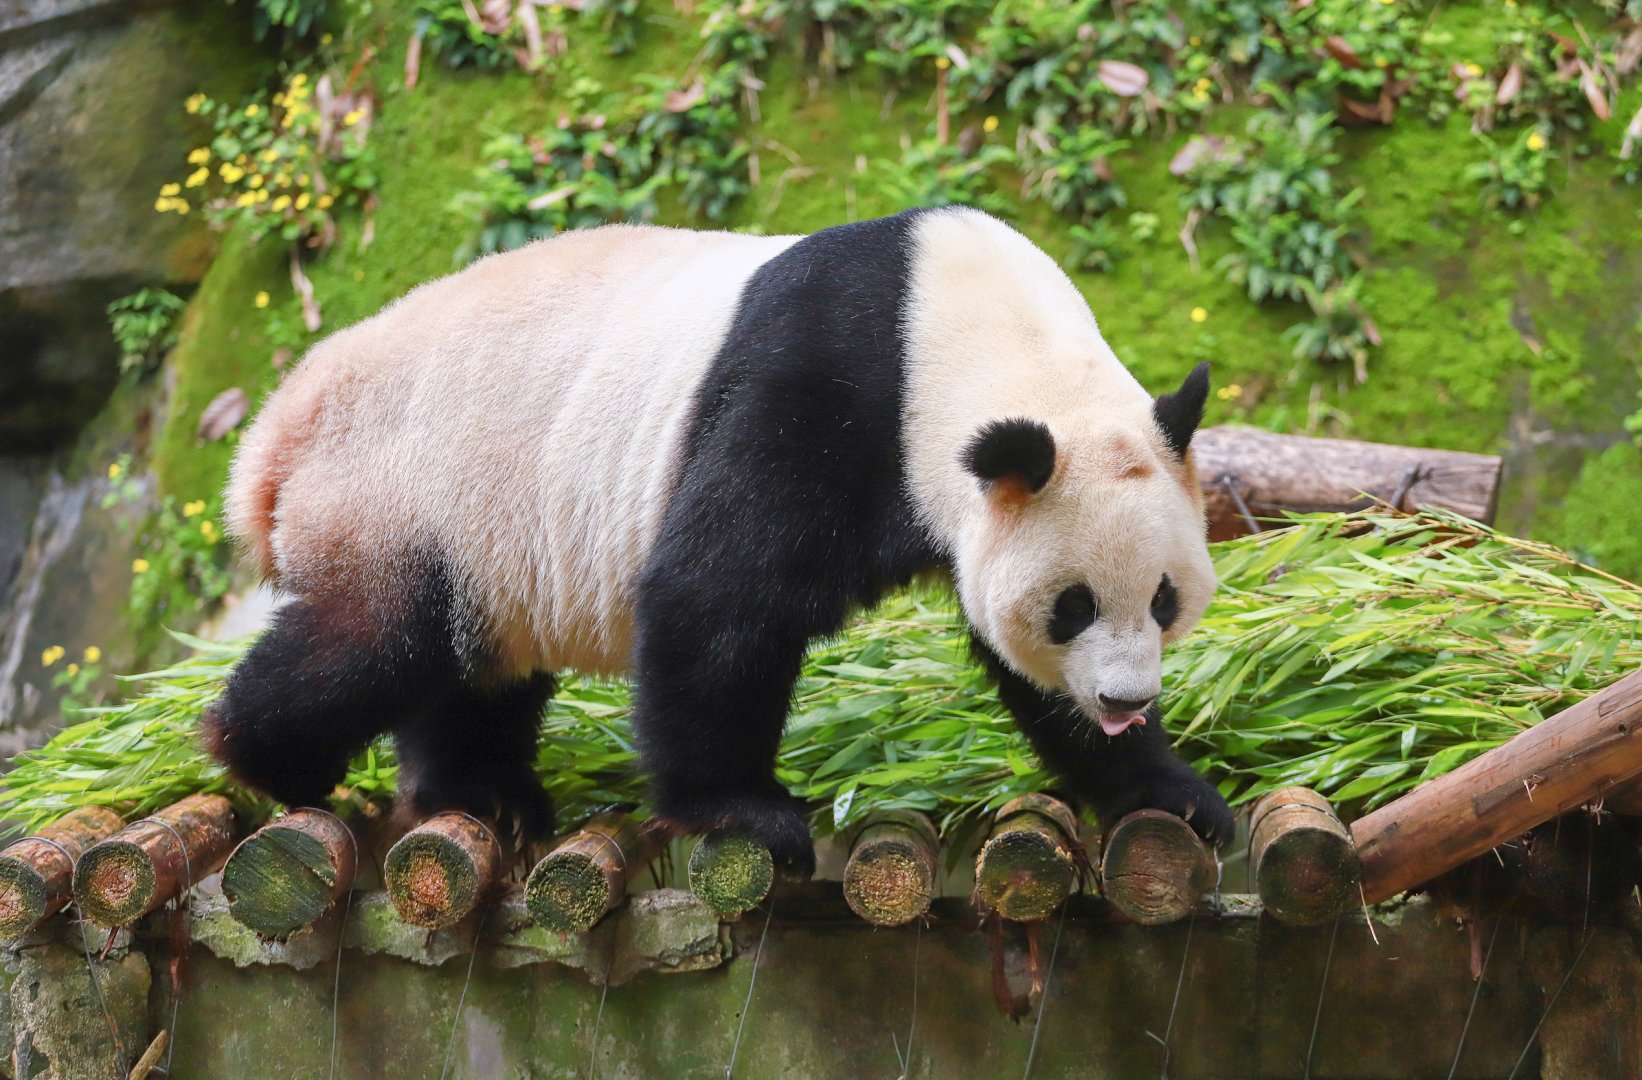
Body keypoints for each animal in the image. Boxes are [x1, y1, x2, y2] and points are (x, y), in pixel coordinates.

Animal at [204, 206, 1233, 874]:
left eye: (1164, 599)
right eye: (1073, 606)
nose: (1125, 699)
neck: (959, 324)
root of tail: (276, 431)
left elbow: (1020, 674)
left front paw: (1169, 789)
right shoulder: (827, 385)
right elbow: (719, 594)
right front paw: (742, 810)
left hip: (482, 539)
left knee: (471, 669)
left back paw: (483, 792)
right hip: (400, 488)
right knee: (375, 641)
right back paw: (274, 759)